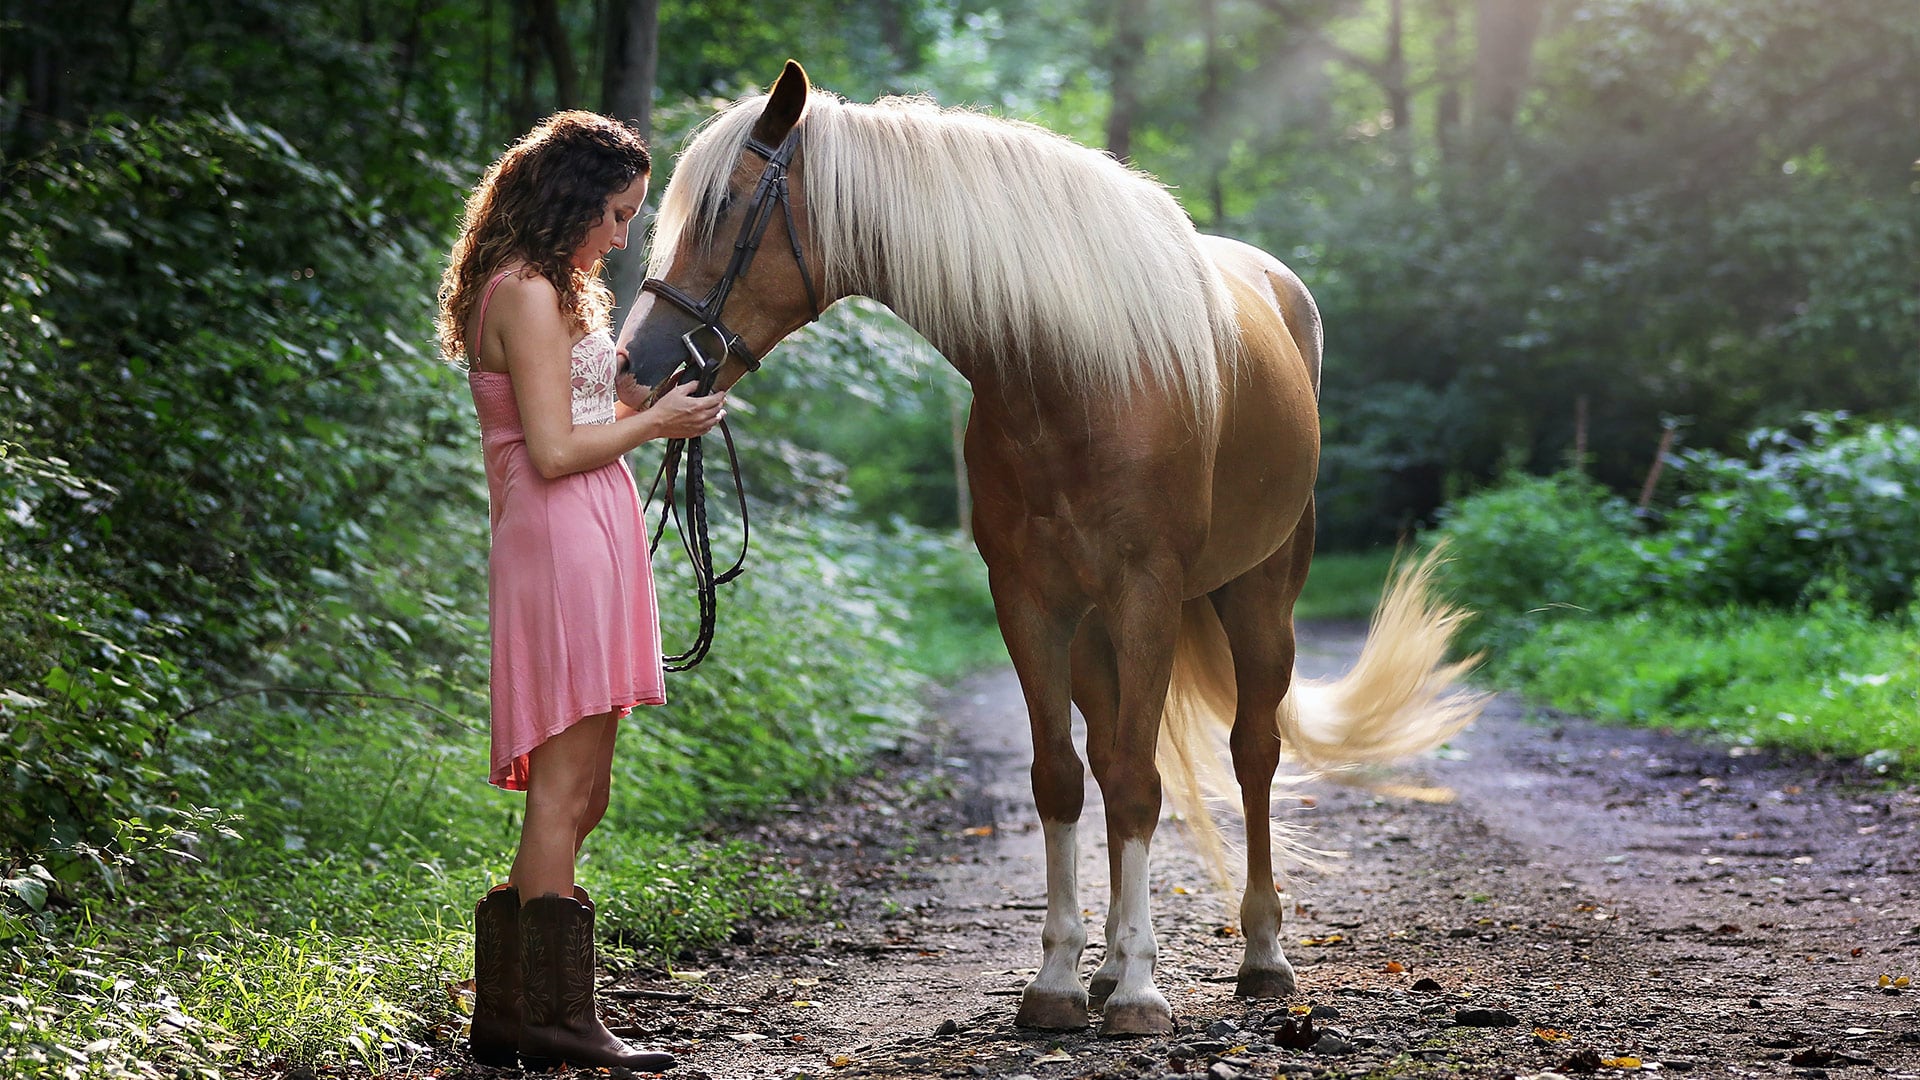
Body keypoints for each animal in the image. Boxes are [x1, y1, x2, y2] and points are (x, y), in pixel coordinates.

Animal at [616, 60, 1483, 1036]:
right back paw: (1107, 966)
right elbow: (1062, 779)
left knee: (1252, 753)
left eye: (725, 208)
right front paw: (1064, 980)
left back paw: (1261, 955)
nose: (634, 366)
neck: (1072, 376)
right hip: (1098, 631)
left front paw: (1142, 992)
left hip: (1260, 598)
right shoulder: (1029, 600)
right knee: (1108, 756)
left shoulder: (1147, 593)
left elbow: (1142, 782)